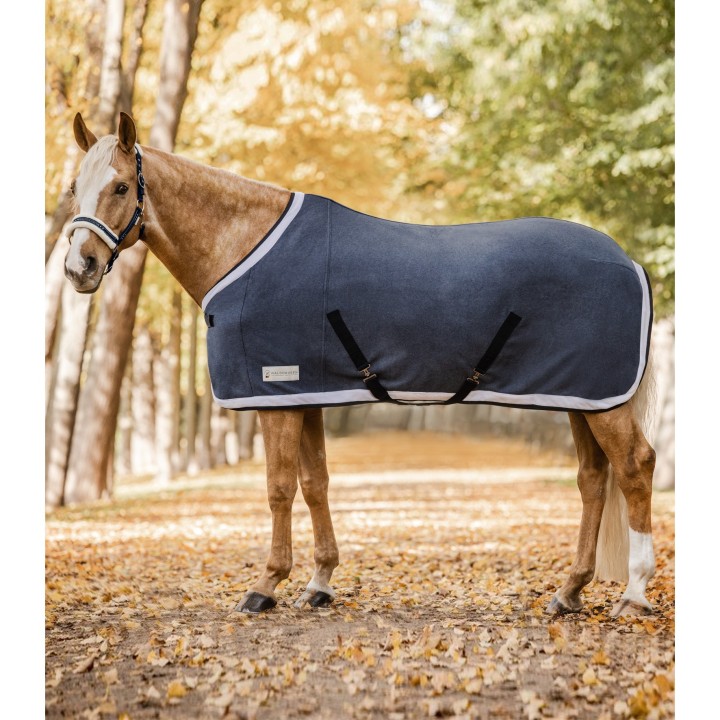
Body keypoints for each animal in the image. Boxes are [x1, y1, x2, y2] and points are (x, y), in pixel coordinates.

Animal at [63, 112, 657, 618]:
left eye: (121, 187)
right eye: (73, 187)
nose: (78, 268)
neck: (244, 248)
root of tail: (628, 260)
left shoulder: (274, 394)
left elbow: (279, 487)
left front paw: (266, 585)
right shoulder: (306, 394)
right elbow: (315, 482)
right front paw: (319, 583)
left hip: (604, 401)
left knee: (634, 468)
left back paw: (633, 594)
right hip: (582, 396)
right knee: (593, 479)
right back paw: (569, 592)